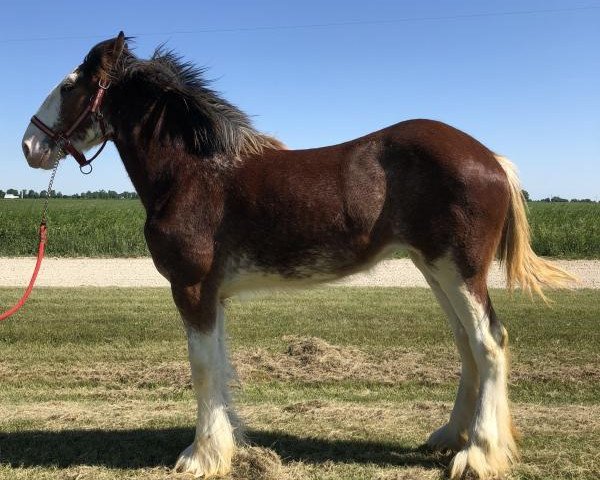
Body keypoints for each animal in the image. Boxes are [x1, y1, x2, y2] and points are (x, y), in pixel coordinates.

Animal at [22, 31, 576, 478]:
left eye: (70, 85)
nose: (29, 145)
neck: (196, 173)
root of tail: (492, 159)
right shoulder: (214, 295)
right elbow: (220, 364)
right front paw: (229, 447)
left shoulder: (192, 288)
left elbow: (202, 369)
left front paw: (201, 457)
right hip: (435, 270)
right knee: (466, 345)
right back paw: (447, 438)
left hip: (459, 271)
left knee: (489, 344)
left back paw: (477, 454)